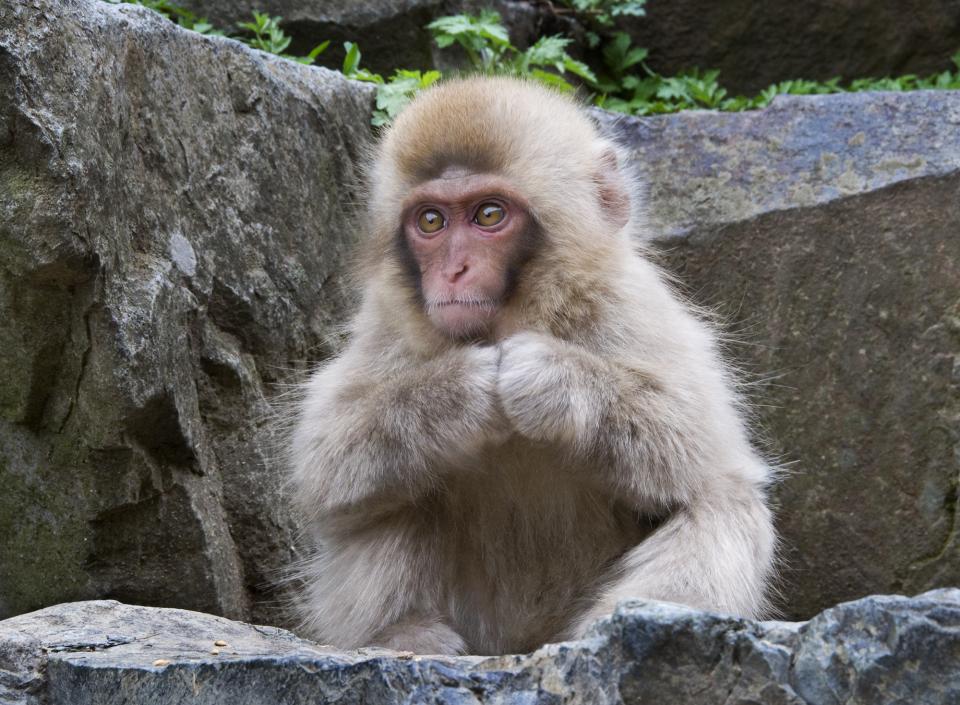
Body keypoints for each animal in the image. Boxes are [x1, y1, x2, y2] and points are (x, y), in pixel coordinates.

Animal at [288, 75, 776, 656]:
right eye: (431, 221)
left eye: (489, 215)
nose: (453, 271)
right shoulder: (387, 320)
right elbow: (323, 456)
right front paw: (459, 392)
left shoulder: (630, 305)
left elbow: (704, 449)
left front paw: (550, 380)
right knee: (380, 494)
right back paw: (403, 633)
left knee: (721, 500)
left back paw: (626, 628)